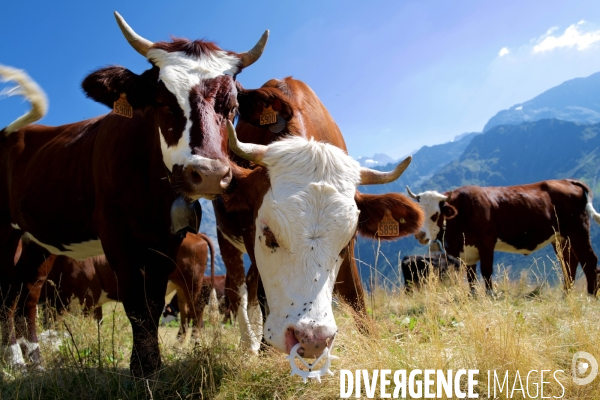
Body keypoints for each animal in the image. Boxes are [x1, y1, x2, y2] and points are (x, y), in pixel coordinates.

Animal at [0, 12, 268, 376]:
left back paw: (35, 362)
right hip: (4, 229)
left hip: (37, 241)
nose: (210, 174)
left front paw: (150, 364)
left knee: (24, 294)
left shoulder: (167, 240)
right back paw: (14, 359)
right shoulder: (116, 235)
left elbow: (152, 302)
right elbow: (135, 302)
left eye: (232, 106)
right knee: (5, 293)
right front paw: (141, 368)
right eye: (163, 101)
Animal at [213, 77, 424, 360]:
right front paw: (266, 353)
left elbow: (356, 297)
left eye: (347, 241)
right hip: (225, 238)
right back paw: (250, 344)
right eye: (268, 232)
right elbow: (261, 296)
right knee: (238, 288)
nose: (313, 340)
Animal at [406, 180, 600, 296]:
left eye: (435, 214)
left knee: (589, 261)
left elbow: (486, 271)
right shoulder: (468, 251)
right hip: (561, 237)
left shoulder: (486, 242)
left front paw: (490, 295)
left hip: (578, 230)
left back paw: (591, 295)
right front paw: (473, 296)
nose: (420, 235)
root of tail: (567, 181)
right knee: (569, 263)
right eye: (417, 213)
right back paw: (566, 294)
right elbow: (471, 276)